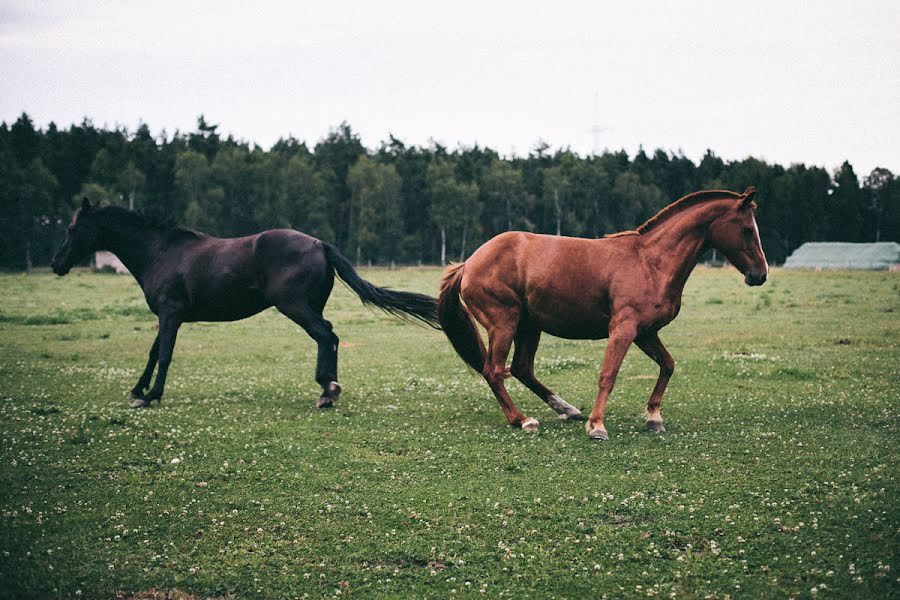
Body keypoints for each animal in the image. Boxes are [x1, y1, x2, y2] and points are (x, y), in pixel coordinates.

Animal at [51, 199, 440, 410]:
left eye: (71, 229)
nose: (56, 263)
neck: (162, 252)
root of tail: (320, 244)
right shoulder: (167, 314)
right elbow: (152, 353)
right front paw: (137, 390)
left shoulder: (171, 313)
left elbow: (164, 354)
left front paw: (151, 396)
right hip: (309, 305)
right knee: (329, 336)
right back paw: (328, 389)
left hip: (294, 306)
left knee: (325, 335)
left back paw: (327, 390)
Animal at [436, 185, 768, 438]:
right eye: (747, 229)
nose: (760, 275)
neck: (651, 263)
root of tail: (469, 263)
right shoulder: (624, 329)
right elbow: (608, 374)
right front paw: (597, 426)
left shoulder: (645, 332)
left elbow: (668, 365)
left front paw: (654, 417)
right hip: (504, 323)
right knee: (494, 371)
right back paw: (522, 419)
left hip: (529, 326)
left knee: (521, 369)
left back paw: (566, 409)